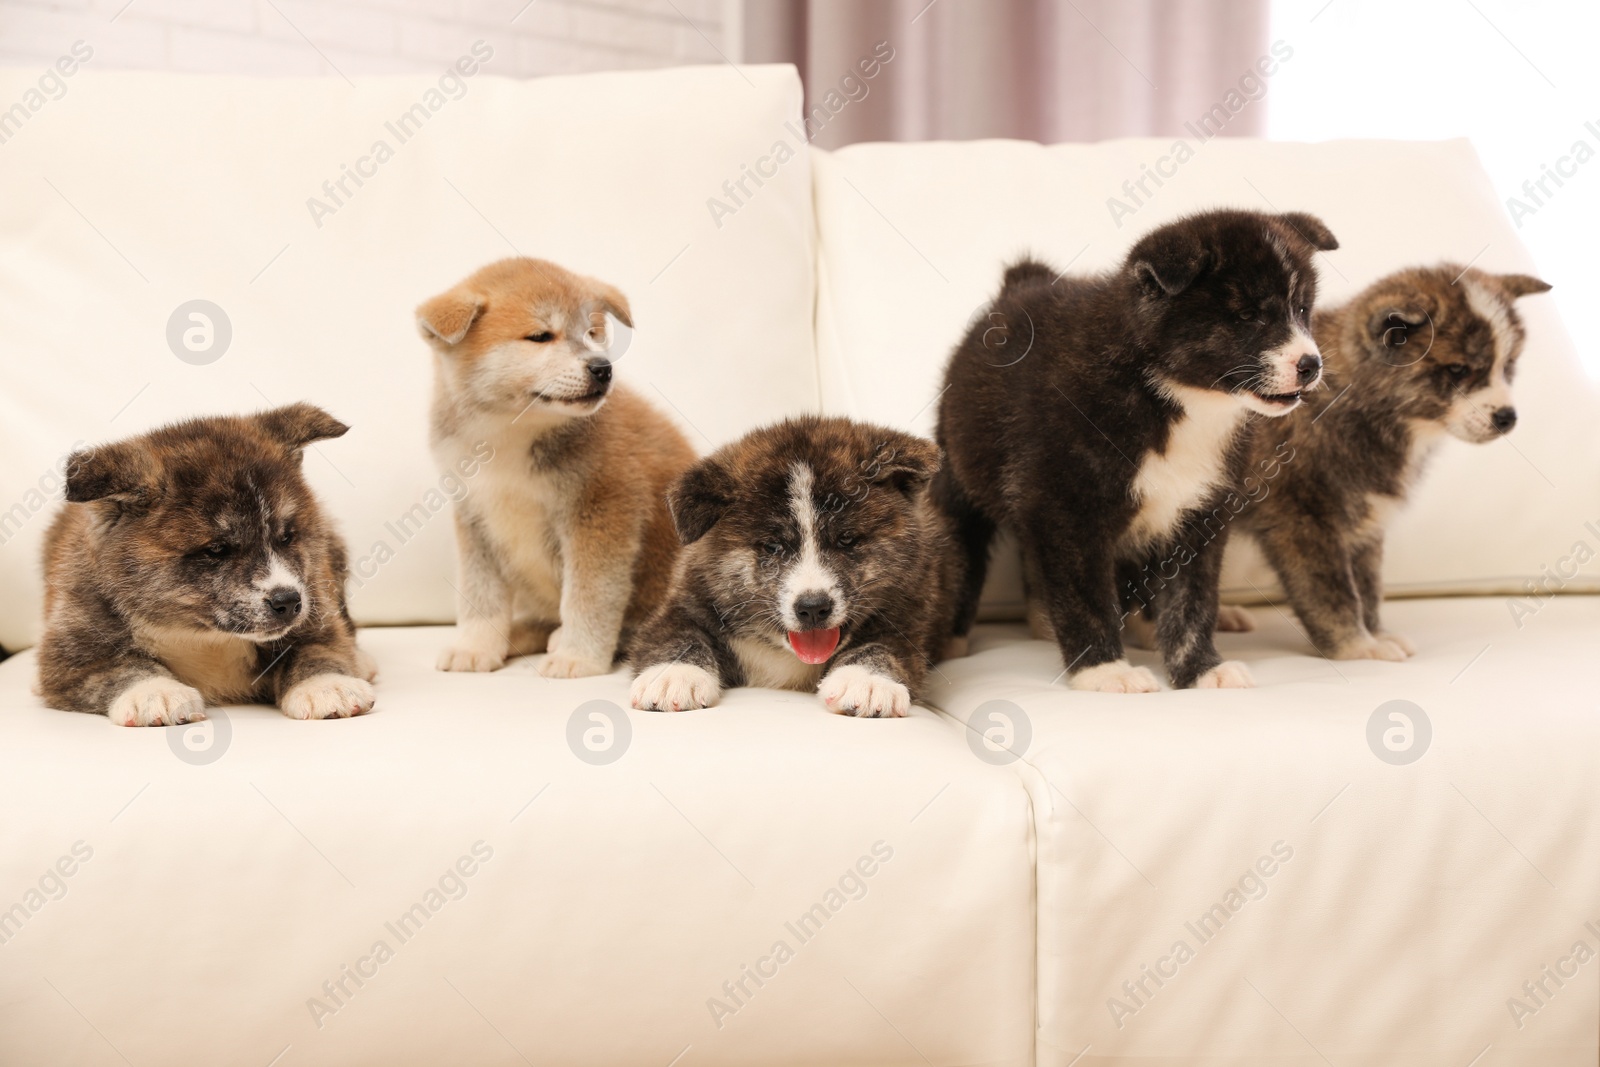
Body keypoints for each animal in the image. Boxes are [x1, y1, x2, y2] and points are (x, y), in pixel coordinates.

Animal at [39, 404, 376, 729]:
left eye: (286, 537)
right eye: (216, 550)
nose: (288, 602)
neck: (202, 637)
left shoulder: (316, 615)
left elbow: (314, 652)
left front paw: (327, 685)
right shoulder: (68, 661)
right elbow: (122, 667)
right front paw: (155, 693)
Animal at [419, 255, 694, 675]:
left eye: (593, 333)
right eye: (540, 336)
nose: (602, 368)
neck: (509, 434)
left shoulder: (602, 513)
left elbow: (589, 597)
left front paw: (577, 656)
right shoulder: (474, 516)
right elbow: (479, 595)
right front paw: (476, 646)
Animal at [624, 415, 953, 716]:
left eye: (846, 540)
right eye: (773, 546)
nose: (813, 607)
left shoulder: (908, 619)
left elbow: (883, 646)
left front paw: (867, 681)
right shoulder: (684, 602)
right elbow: (678, 635)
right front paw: (673, 676)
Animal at [934, 207, 1337, 694]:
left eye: (1302, 309)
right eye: (1247, 315)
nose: (1311, 365)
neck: (1176, 398)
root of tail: (1020, 283)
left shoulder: (1200, 514)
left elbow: (1192, 601)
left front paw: (1201, 669)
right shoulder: (1066, 513)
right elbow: (1085, 598)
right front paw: (1104, 670)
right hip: (959, 480)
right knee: (966, 556)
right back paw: (952, 640)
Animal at [1222, 262, 1548, 659]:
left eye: (1508, 365)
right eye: (1457, 370)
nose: (1507, 417)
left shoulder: (1366, 517)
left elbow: (1367, 584)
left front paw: (1376, 634)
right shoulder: (1300, 519)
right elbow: (1330, 590)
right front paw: (1358, 647)